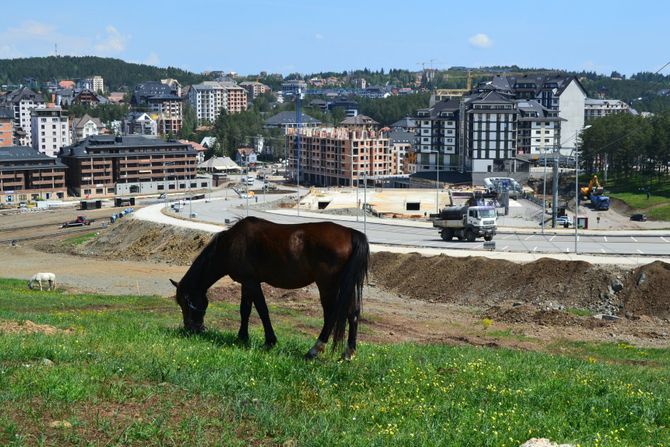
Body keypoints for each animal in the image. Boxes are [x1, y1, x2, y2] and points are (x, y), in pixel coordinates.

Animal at [168, 217, 368, 360]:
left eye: (185, 304)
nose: (192, 329)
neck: (230, 244)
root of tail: (351, 233)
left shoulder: (251, 282)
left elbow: (262, 310)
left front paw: (269, 341)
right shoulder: (246, 283)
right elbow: (245, 310)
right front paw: (242, 338)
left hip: (327, 285)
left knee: (331, 315)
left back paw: (314, 350)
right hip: (346, 285)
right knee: (353, 313)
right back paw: (348, 353)